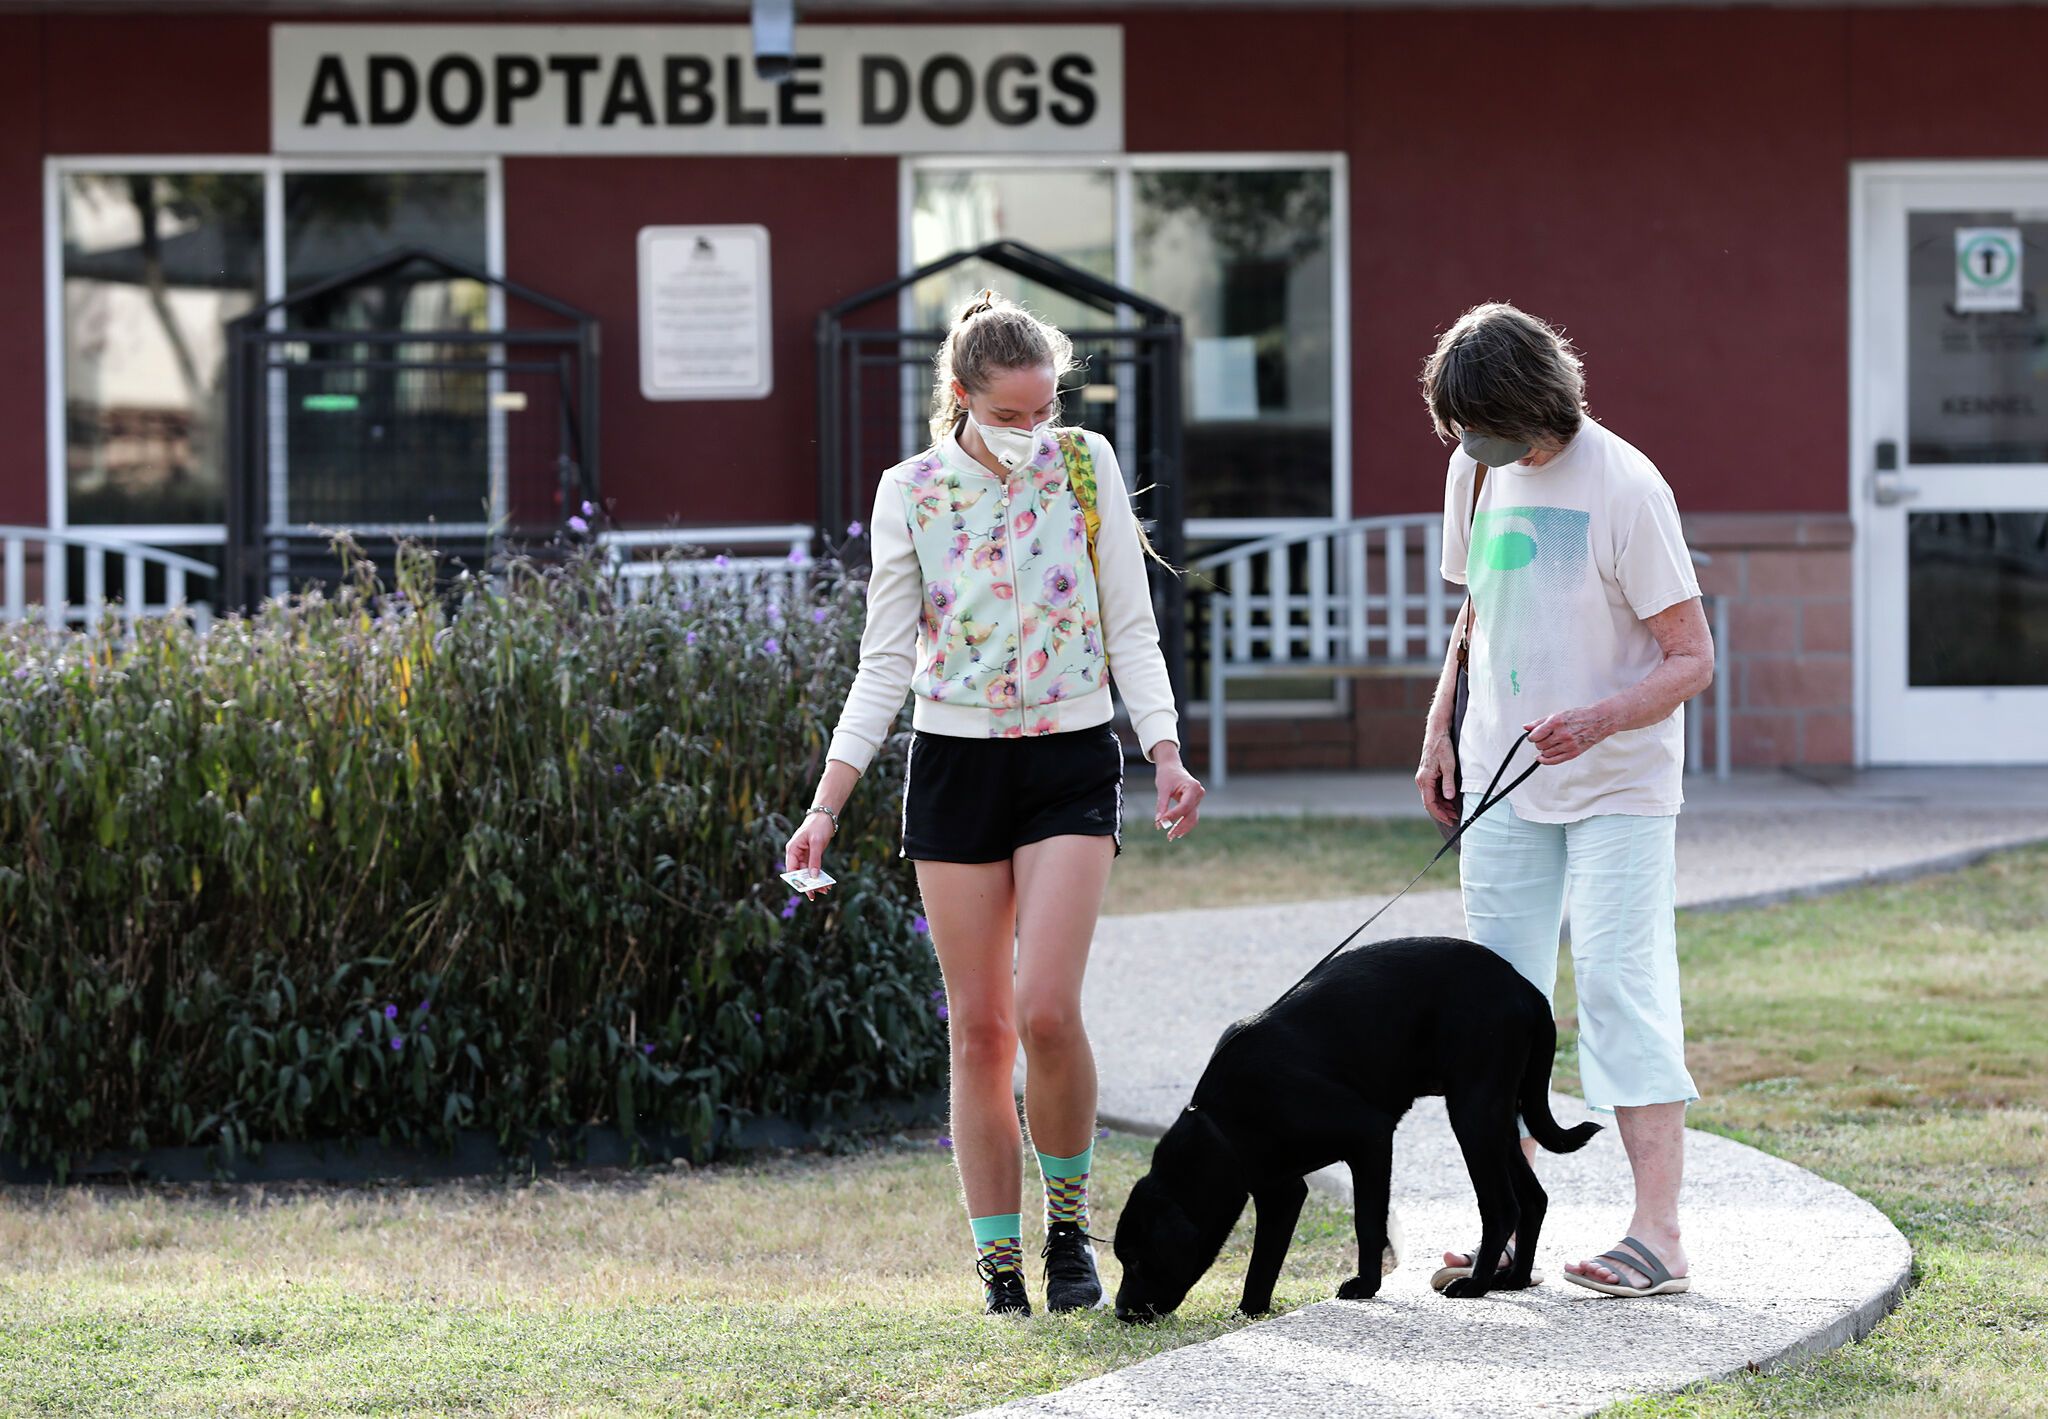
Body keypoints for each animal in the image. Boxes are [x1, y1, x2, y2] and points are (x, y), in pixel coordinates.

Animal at [1122, 933, 1597, 1326]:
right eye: (1124, 1259)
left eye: (1142, 1260)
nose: (1123, 1313)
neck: (1221, 1123)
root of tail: (1526, 988)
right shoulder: (1280, 1188)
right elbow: (1264, 1259)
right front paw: (1250, 1311)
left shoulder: (1370, 1137)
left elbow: (1367, 1222)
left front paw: (1365, 1286)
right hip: (1498, 1117)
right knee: (1533, 1199)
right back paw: (1513, 1279)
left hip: (1473, 1113)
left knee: (1502, 1207)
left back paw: (1476, 1285)